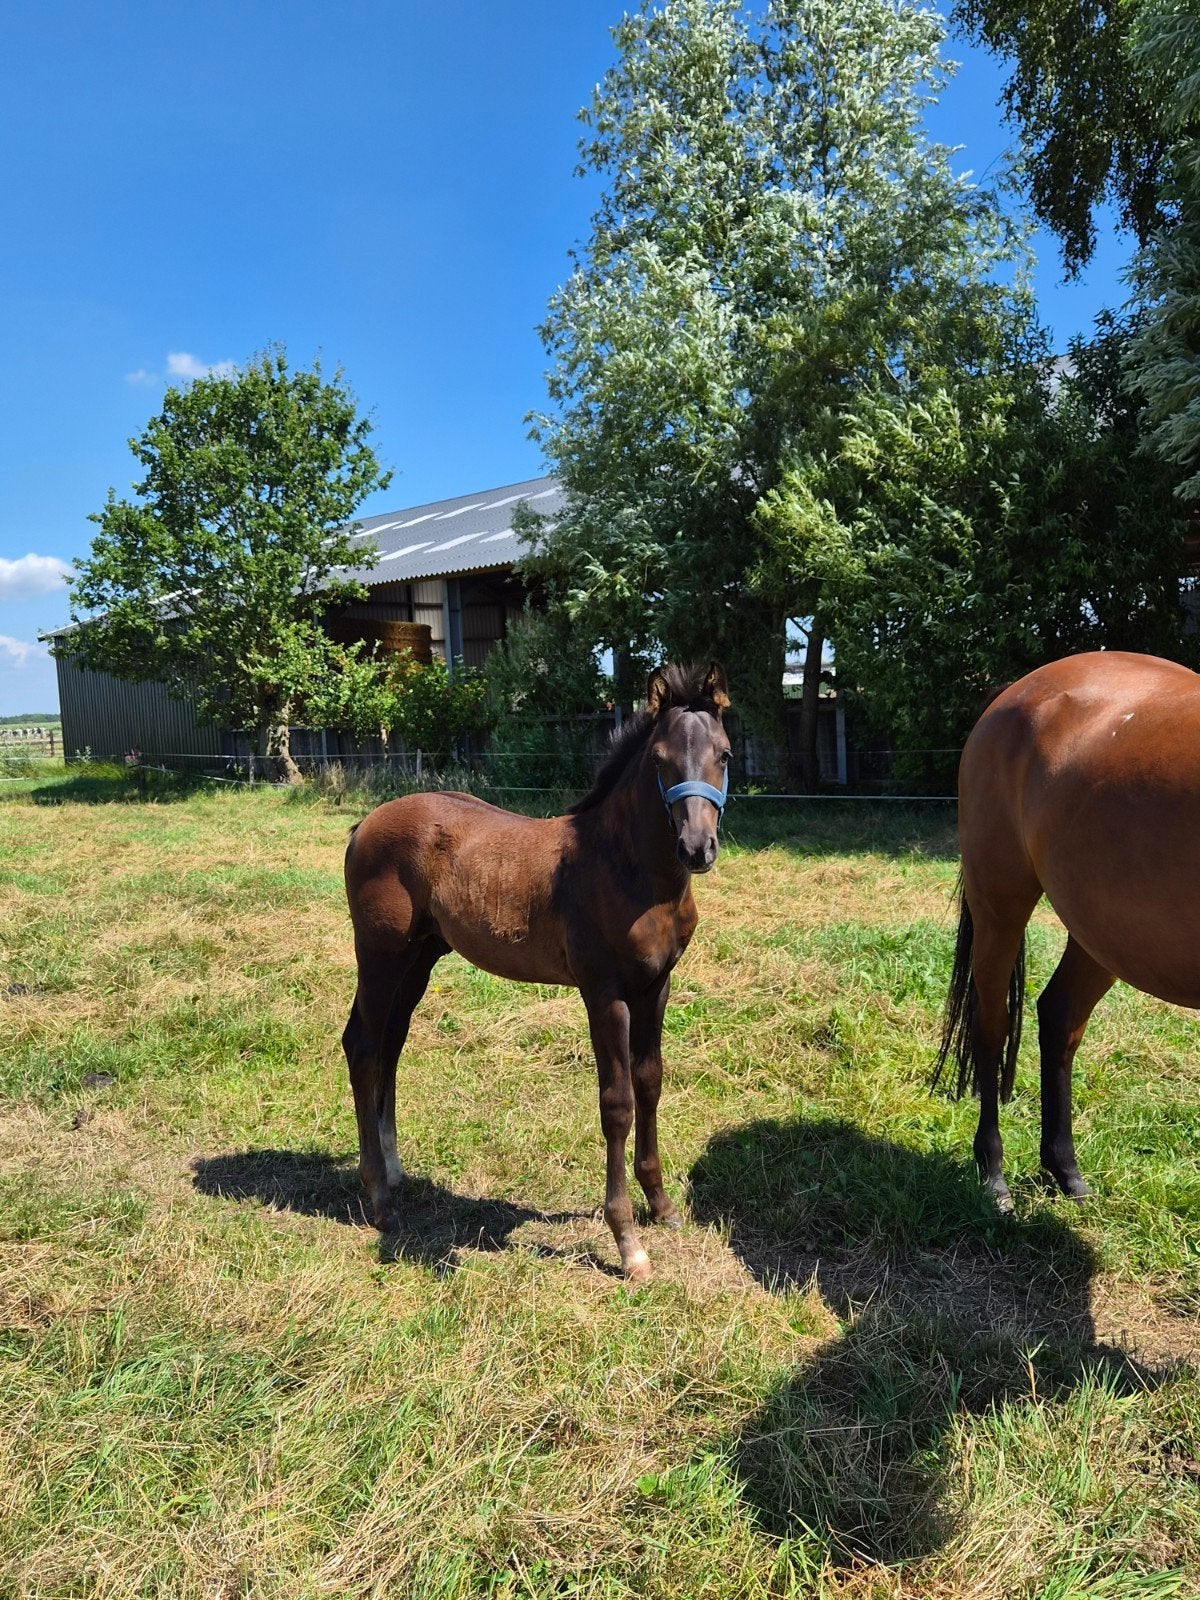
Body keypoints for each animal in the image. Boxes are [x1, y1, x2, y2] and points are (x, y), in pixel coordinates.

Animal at [342, 662, 732, 1281]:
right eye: (659, 759)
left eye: (724, 753)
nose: (697, 847)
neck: (629, 870)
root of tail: (364, 825)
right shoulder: (605, 994)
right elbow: (617, 1103)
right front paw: (628, 1243)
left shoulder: (656, 987)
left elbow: (650, 1082)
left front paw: (662, 1205)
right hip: (380, 955)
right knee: (362, 1045)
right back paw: (379, 1198)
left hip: (418, 959)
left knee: (389, 1044)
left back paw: (395, 1171)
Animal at [936, 650, 1200, 1212]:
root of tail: (1015, 690)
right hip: (1000, 903)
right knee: (992, 1025)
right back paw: (993, 1175)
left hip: (1101, 931)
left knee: (1059, 1018)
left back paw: (1065, 1170)